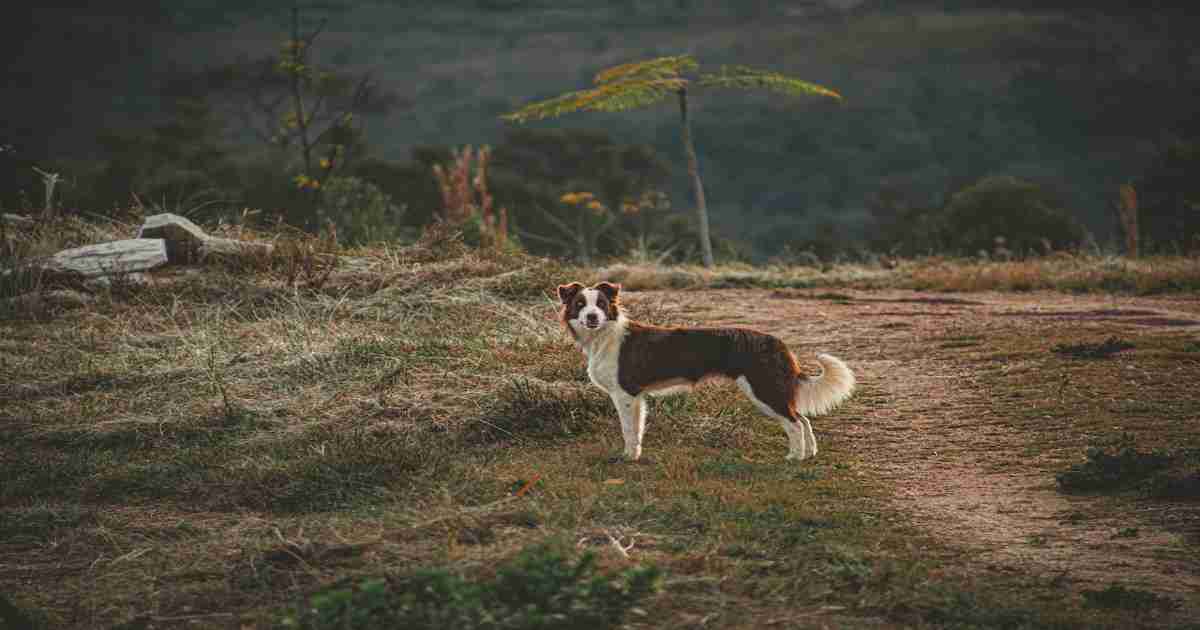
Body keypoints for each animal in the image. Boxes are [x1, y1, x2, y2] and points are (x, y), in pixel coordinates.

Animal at [556, 282, 859, 458]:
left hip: (764, 389)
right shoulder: (638, 397)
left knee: (794, 422)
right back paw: (810, 454)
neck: (604, 335)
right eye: (580, 304)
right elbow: (637, 429)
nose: (592, 317)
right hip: (771, 390)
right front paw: (636, 455)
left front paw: (628, 458)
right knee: (802, 418)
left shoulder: (626, 394)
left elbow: (628, 429)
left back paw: (795, 457)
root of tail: (777, 342)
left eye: (601, 305)